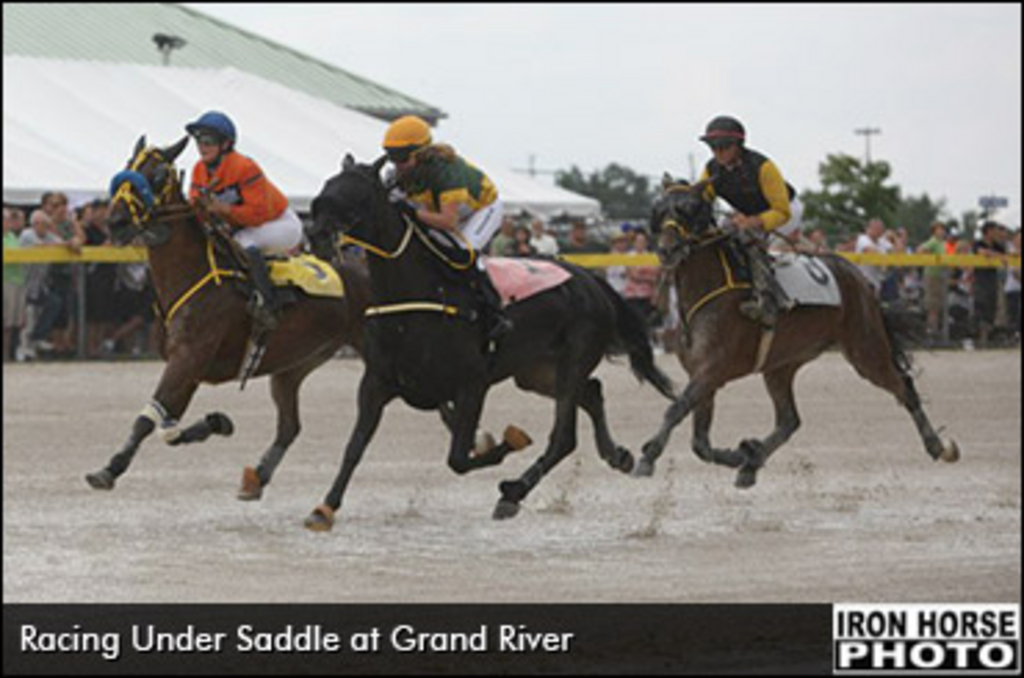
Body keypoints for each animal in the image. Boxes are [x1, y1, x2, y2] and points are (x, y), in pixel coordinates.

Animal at [84, 135, 372, 501]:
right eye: (128, 165)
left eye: (159, 174)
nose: (116, 222)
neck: (191, 273)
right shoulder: (189, 367)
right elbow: (167, 428)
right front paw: (217, 422)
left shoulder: (188, 357)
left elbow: (149, 419)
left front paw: (111, 468)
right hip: (295, 365)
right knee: (290, 426)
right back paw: (258, 476)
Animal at [299, 155, 675, 532]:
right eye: (326, 187)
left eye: (358, 195)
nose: (316, 235)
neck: (418, 297)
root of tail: (590, 279)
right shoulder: (376, 381)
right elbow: (355, 446)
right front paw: (325, 508)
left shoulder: (472, 384)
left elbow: (459, 457)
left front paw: (508, 442)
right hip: (536, 372)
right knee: (592, 393)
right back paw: (617, 455)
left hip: (572, 361)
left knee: (563, 436)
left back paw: (514, 492)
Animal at [634, 179, 954, 489]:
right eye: (659, 210)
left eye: (688, 210)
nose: (667, 250)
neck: (706, 290)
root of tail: (860, 278)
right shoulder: (702, 375)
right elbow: (700, 442)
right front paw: (740, 454)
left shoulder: (711, 371)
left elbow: (676, 410)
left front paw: (647, 458)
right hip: (781, 365)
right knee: (790, 421)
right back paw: (751, 463)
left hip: (866, 349)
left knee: (904, 388)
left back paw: (939, 446)